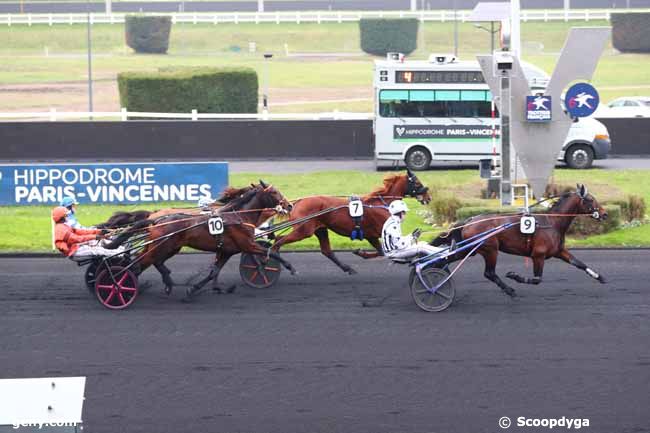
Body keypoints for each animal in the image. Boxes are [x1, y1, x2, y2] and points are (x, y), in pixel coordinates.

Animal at [108, 181, 292, 296]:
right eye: (274, 192)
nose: (289, 205)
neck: (238, 215)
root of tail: (156, 219)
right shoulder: (247, 244)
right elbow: (269, 252)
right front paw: (287, 267)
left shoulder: (227, 250)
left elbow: (214, 272)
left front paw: (202, 289)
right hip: (161, 247)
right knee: (138, 265)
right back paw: (119, 286)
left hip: (166, 247)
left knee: (148, 262)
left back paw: (164, 282)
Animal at [270, 169, 432, 274]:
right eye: (417, 183)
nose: (428, 197)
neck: (382, 203)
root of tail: (298, 202)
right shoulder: (376, 232)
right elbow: (382, 251)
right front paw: (360, 252)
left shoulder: (371, 235)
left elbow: (381, 251)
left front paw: (360, 252)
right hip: (304, 230)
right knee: (278, 241)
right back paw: (283, 262)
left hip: (320, 229)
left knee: (326, 251)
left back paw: (347, 268)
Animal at [430, 182, 608, 296]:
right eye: (590, 199)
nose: (605, 214)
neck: (552, 223)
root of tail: (469, 221)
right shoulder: (538, 255)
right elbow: (537, 279)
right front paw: (514, 275)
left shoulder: (559, 251)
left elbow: (579, 263)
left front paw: (600, 277)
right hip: (490, 249)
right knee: (489, 273)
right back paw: (509, 290)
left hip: (469, 249)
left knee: (444, 260)